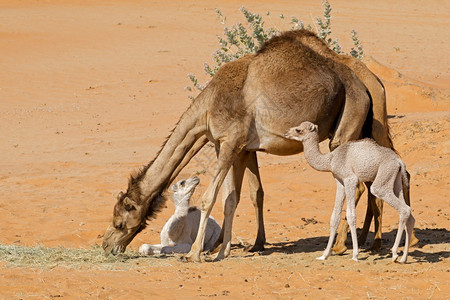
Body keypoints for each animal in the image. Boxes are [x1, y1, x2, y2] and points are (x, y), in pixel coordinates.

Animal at [284, 122, 414, 262]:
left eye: (298, 130)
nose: (286, 133)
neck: (331, 159)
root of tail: (399, 161)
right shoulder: (339, 181)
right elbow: (334, 217)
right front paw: (324, 255)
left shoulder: (350, 179)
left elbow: (351, 216)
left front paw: (355, 255)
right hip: (396, 180)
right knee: (409, 213)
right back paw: (403, 258)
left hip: (383, 179)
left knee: (401, 207)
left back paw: (395, 254)